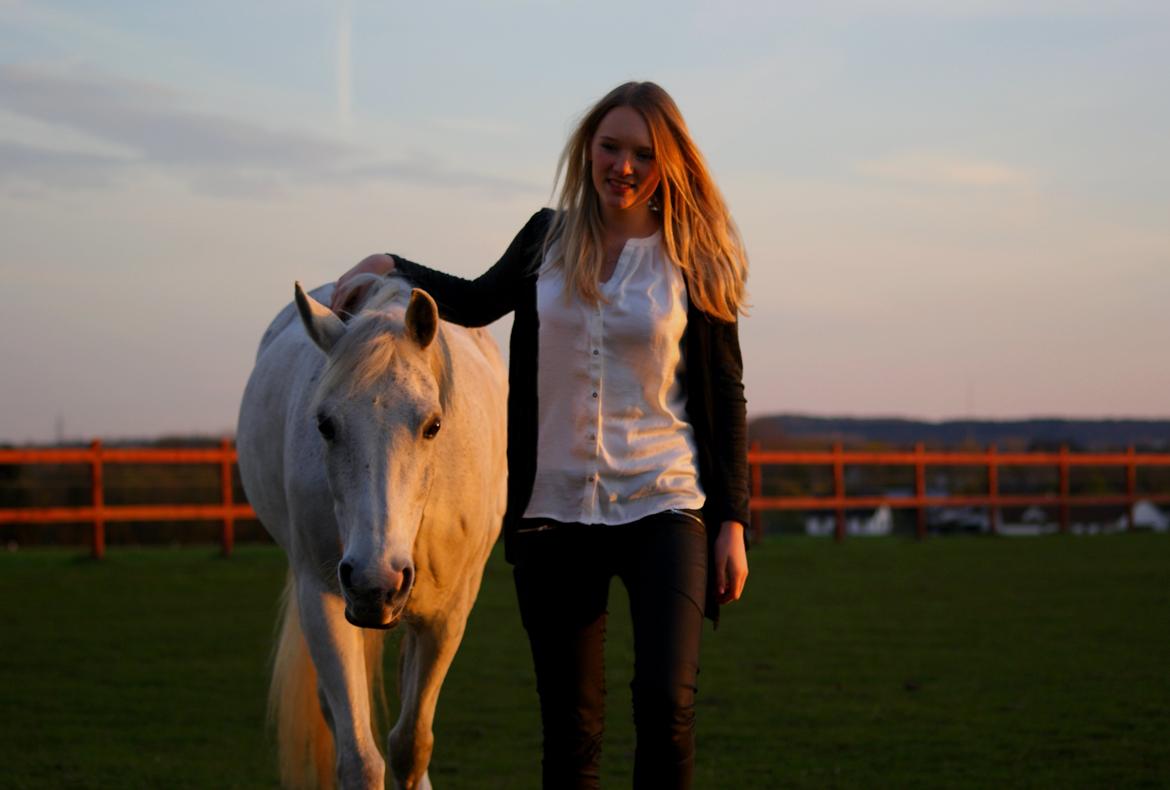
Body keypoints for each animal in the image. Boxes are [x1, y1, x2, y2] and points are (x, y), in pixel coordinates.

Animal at [236, 275, 507, 790]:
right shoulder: (323, 600)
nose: (374, 583)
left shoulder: (448, 617)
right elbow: (361, 759)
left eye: (433, 425)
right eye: (324, 425)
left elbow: (410, 746)